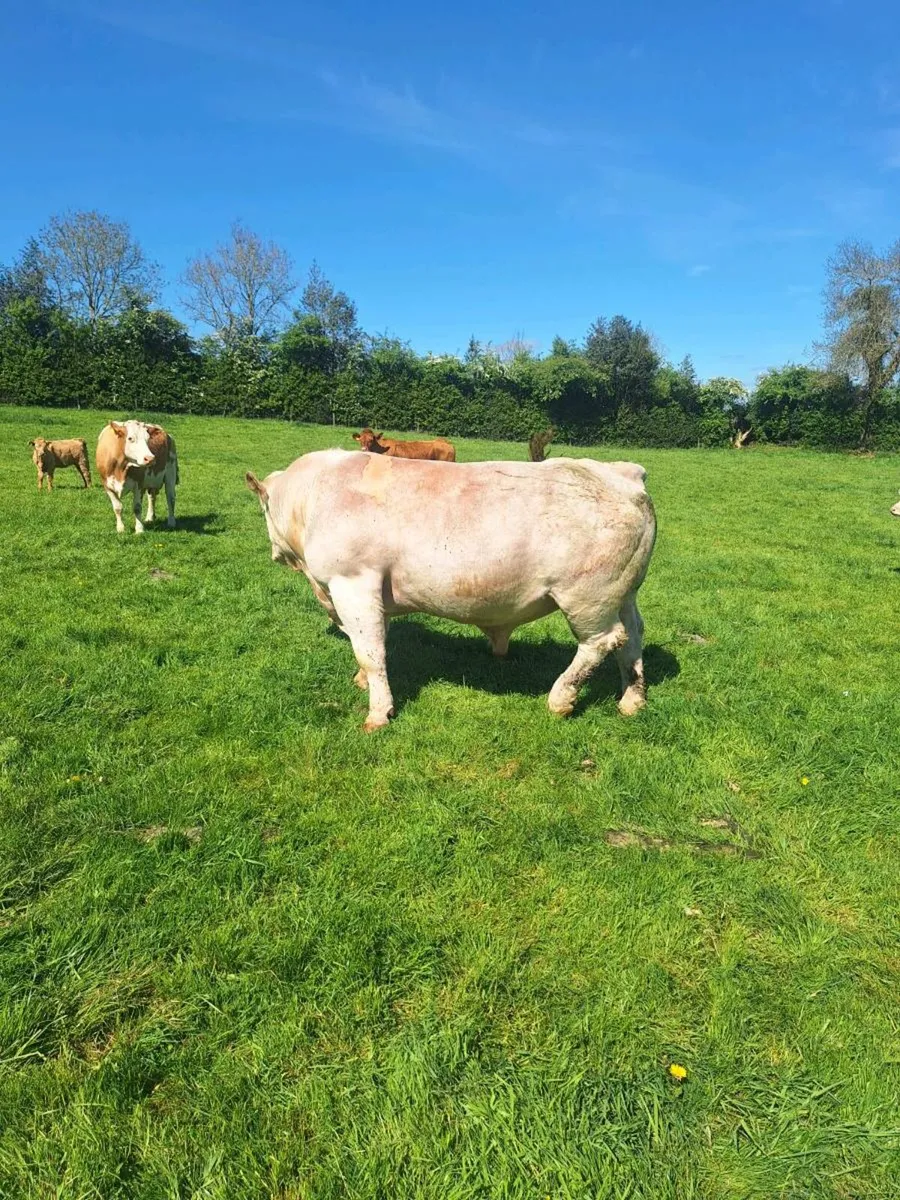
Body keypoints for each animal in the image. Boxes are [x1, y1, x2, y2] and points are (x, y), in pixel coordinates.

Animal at [246, 450, 656, 732]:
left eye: (263, 509)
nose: (272, 551)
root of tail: (620, 473)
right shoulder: (374, 592)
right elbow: (373, 640)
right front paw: (362, 682)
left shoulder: (353, 583)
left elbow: (370, 651)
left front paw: (377, 713)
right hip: (625, 592)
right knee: (633, 637)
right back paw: (632, 701)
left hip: (587, 596)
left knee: (603, 641)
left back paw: (560, 698)